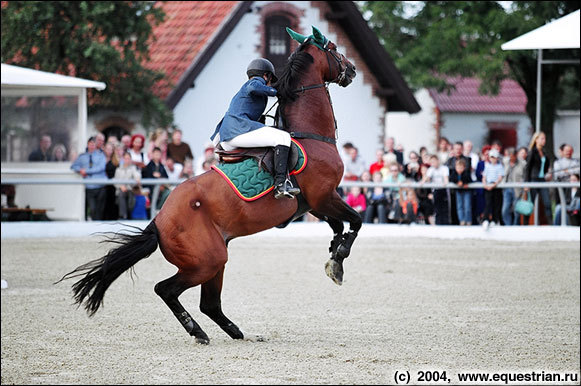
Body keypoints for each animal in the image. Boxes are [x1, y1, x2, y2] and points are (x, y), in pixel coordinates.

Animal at [59, 27, 358, 344]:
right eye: (334, 48)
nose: (352, 69)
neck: (310, 135)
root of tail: (158, 221)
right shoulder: (324, 196)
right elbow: (355, 221)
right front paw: (339, 256)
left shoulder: (315, 202)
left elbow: (339, 225)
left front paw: (334, 258)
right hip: (207, 261)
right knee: (166, 290)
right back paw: (197, 330)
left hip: (215, 259)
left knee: (209, 304)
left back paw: (234, 331)